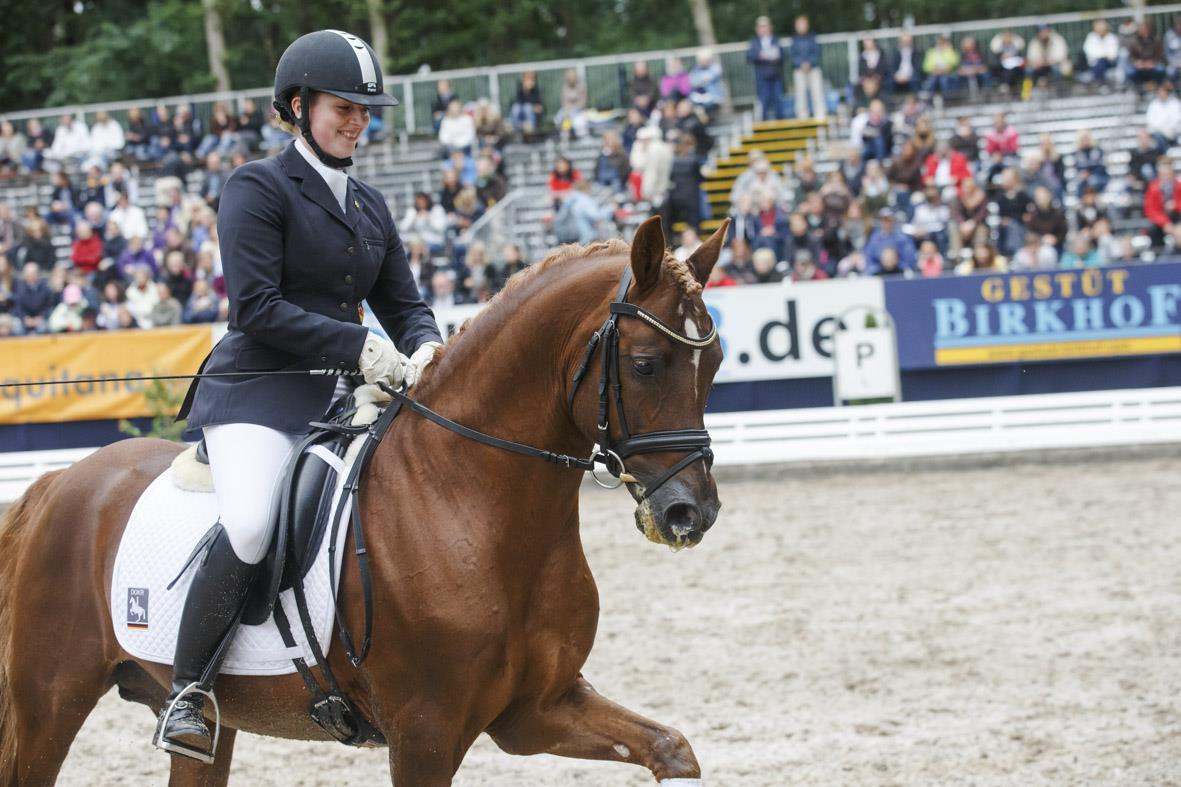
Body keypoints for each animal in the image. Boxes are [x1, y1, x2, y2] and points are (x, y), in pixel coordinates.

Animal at [0, 215, 727, 786]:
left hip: (207, 724)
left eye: (715, 363)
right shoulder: (425, 734)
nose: (690, 513)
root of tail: (57, 484)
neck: (468, 502)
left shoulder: (538, 709)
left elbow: (673, 749)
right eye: (644, 363)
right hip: (49, 702)